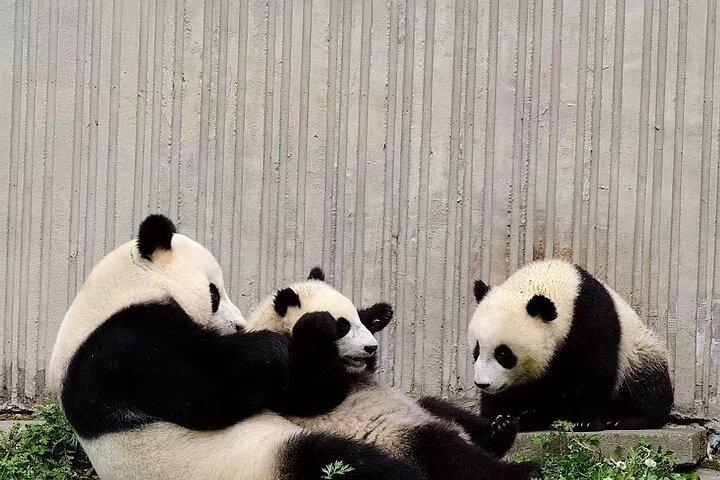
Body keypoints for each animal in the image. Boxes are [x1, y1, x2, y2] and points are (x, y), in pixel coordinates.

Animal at [47, 214, 424, 480]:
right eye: (214, 293)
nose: (239, 326)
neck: (121, 291)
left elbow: (295, 395)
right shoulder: (128, 346)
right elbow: (215, 387)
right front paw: (299, 333)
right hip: (257, 459)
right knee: (337, 462)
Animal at [248, 268, 538, 480]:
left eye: (356, 319)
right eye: (342, 326)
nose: (371, 347)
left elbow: (368, 369)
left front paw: (378, 314)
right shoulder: (275, 365)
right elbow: (314, 394)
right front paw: (317, 324)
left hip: (416, 405)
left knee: (442, 408)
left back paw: (499, 431)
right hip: (393, 437)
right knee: (446, 453)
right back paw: (519, 470)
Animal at [466, 259, 674, 432]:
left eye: (504, 354)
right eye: (477, 350)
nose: (482, 383)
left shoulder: (591, 319)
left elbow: (594, 372)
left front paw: (586, 421)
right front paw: (500, 420)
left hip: (638, 353)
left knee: (647, 385)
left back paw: (626, 419)